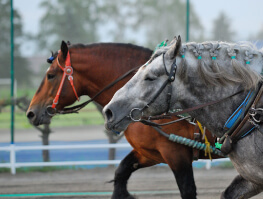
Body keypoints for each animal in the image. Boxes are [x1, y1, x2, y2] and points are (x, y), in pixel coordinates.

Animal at [26, 40, 223, 199]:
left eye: (50, 75)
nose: (31, 113)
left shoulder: (175, 153)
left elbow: (187, 190)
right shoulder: (149, 153)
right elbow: (121, 173)